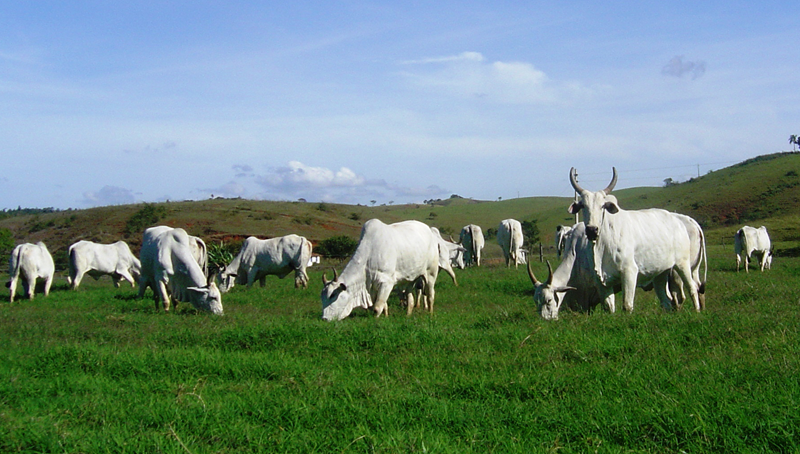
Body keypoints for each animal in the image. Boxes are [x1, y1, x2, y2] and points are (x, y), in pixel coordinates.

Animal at [568, 168, 700, 314]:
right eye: (583, 206)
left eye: (602, 206)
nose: (592, 230)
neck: (602, 244)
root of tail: (679, 221)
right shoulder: (601, 280)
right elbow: (608, 307)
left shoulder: (629, 271)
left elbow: (627, 305)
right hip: (661, 272)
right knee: (666, 300)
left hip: (683, 264)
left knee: (692, 288)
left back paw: (697, 311)